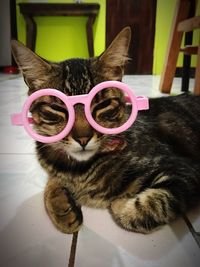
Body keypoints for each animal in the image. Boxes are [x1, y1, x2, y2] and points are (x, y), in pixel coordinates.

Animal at [11, 27, 200, 234]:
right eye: (57, 108)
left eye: (103, 104)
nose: (83, 138)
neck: (80, 171)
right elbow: (51, 183)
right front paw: (61, 207)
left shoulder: (184, 170)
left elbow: (156, 204)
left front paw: (120, 203)